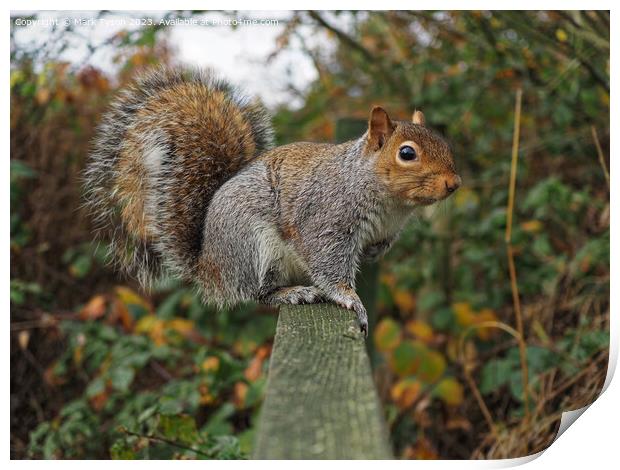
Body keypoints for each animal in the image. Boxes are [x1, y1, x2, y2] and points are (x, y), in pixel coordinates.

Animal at [83, 68, 460, 336]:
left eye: (444, 142)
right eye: (407, 153)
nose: (454, 183)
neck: (391, 205)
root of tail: (210, 267)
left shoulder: (385, 229)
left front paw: (371, 255)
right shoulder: (326, 220)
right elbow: (329, 265)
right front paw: (350, 299)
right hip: (255, 246)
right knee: (257, 293)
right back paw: (292, 293)